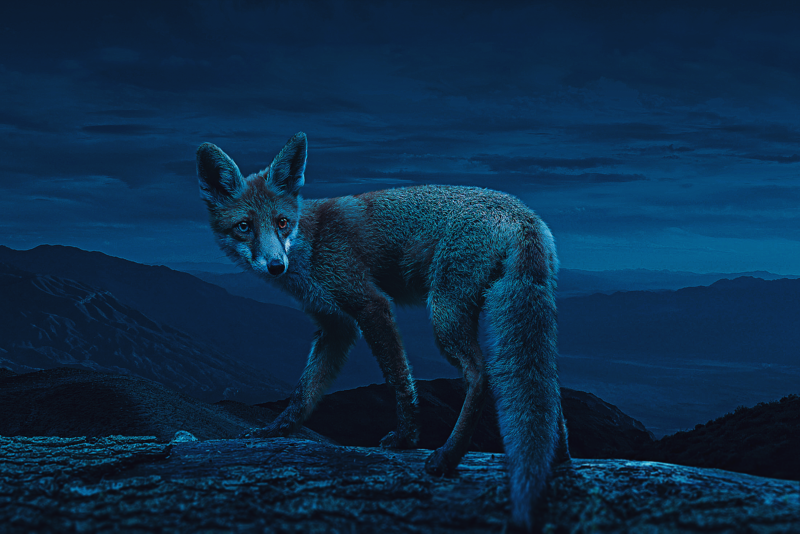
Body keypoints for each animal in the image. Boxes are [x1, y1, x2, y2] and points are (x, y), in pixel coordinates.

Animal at [196, 132, 569, 531]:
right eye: (244, 226)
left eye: (281, 222)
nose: (275, 265)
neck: (311, 245)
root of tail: (522, 213)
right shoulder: (335, 326)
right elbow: (304, 391)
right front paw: (276, 430)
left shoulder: (370, 304)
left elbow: (399, 379)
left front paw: (407, 438)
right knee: (547, 392)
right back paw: (559, 459)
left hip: (444, 313)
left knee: (480, 376)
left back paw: (448, 456)